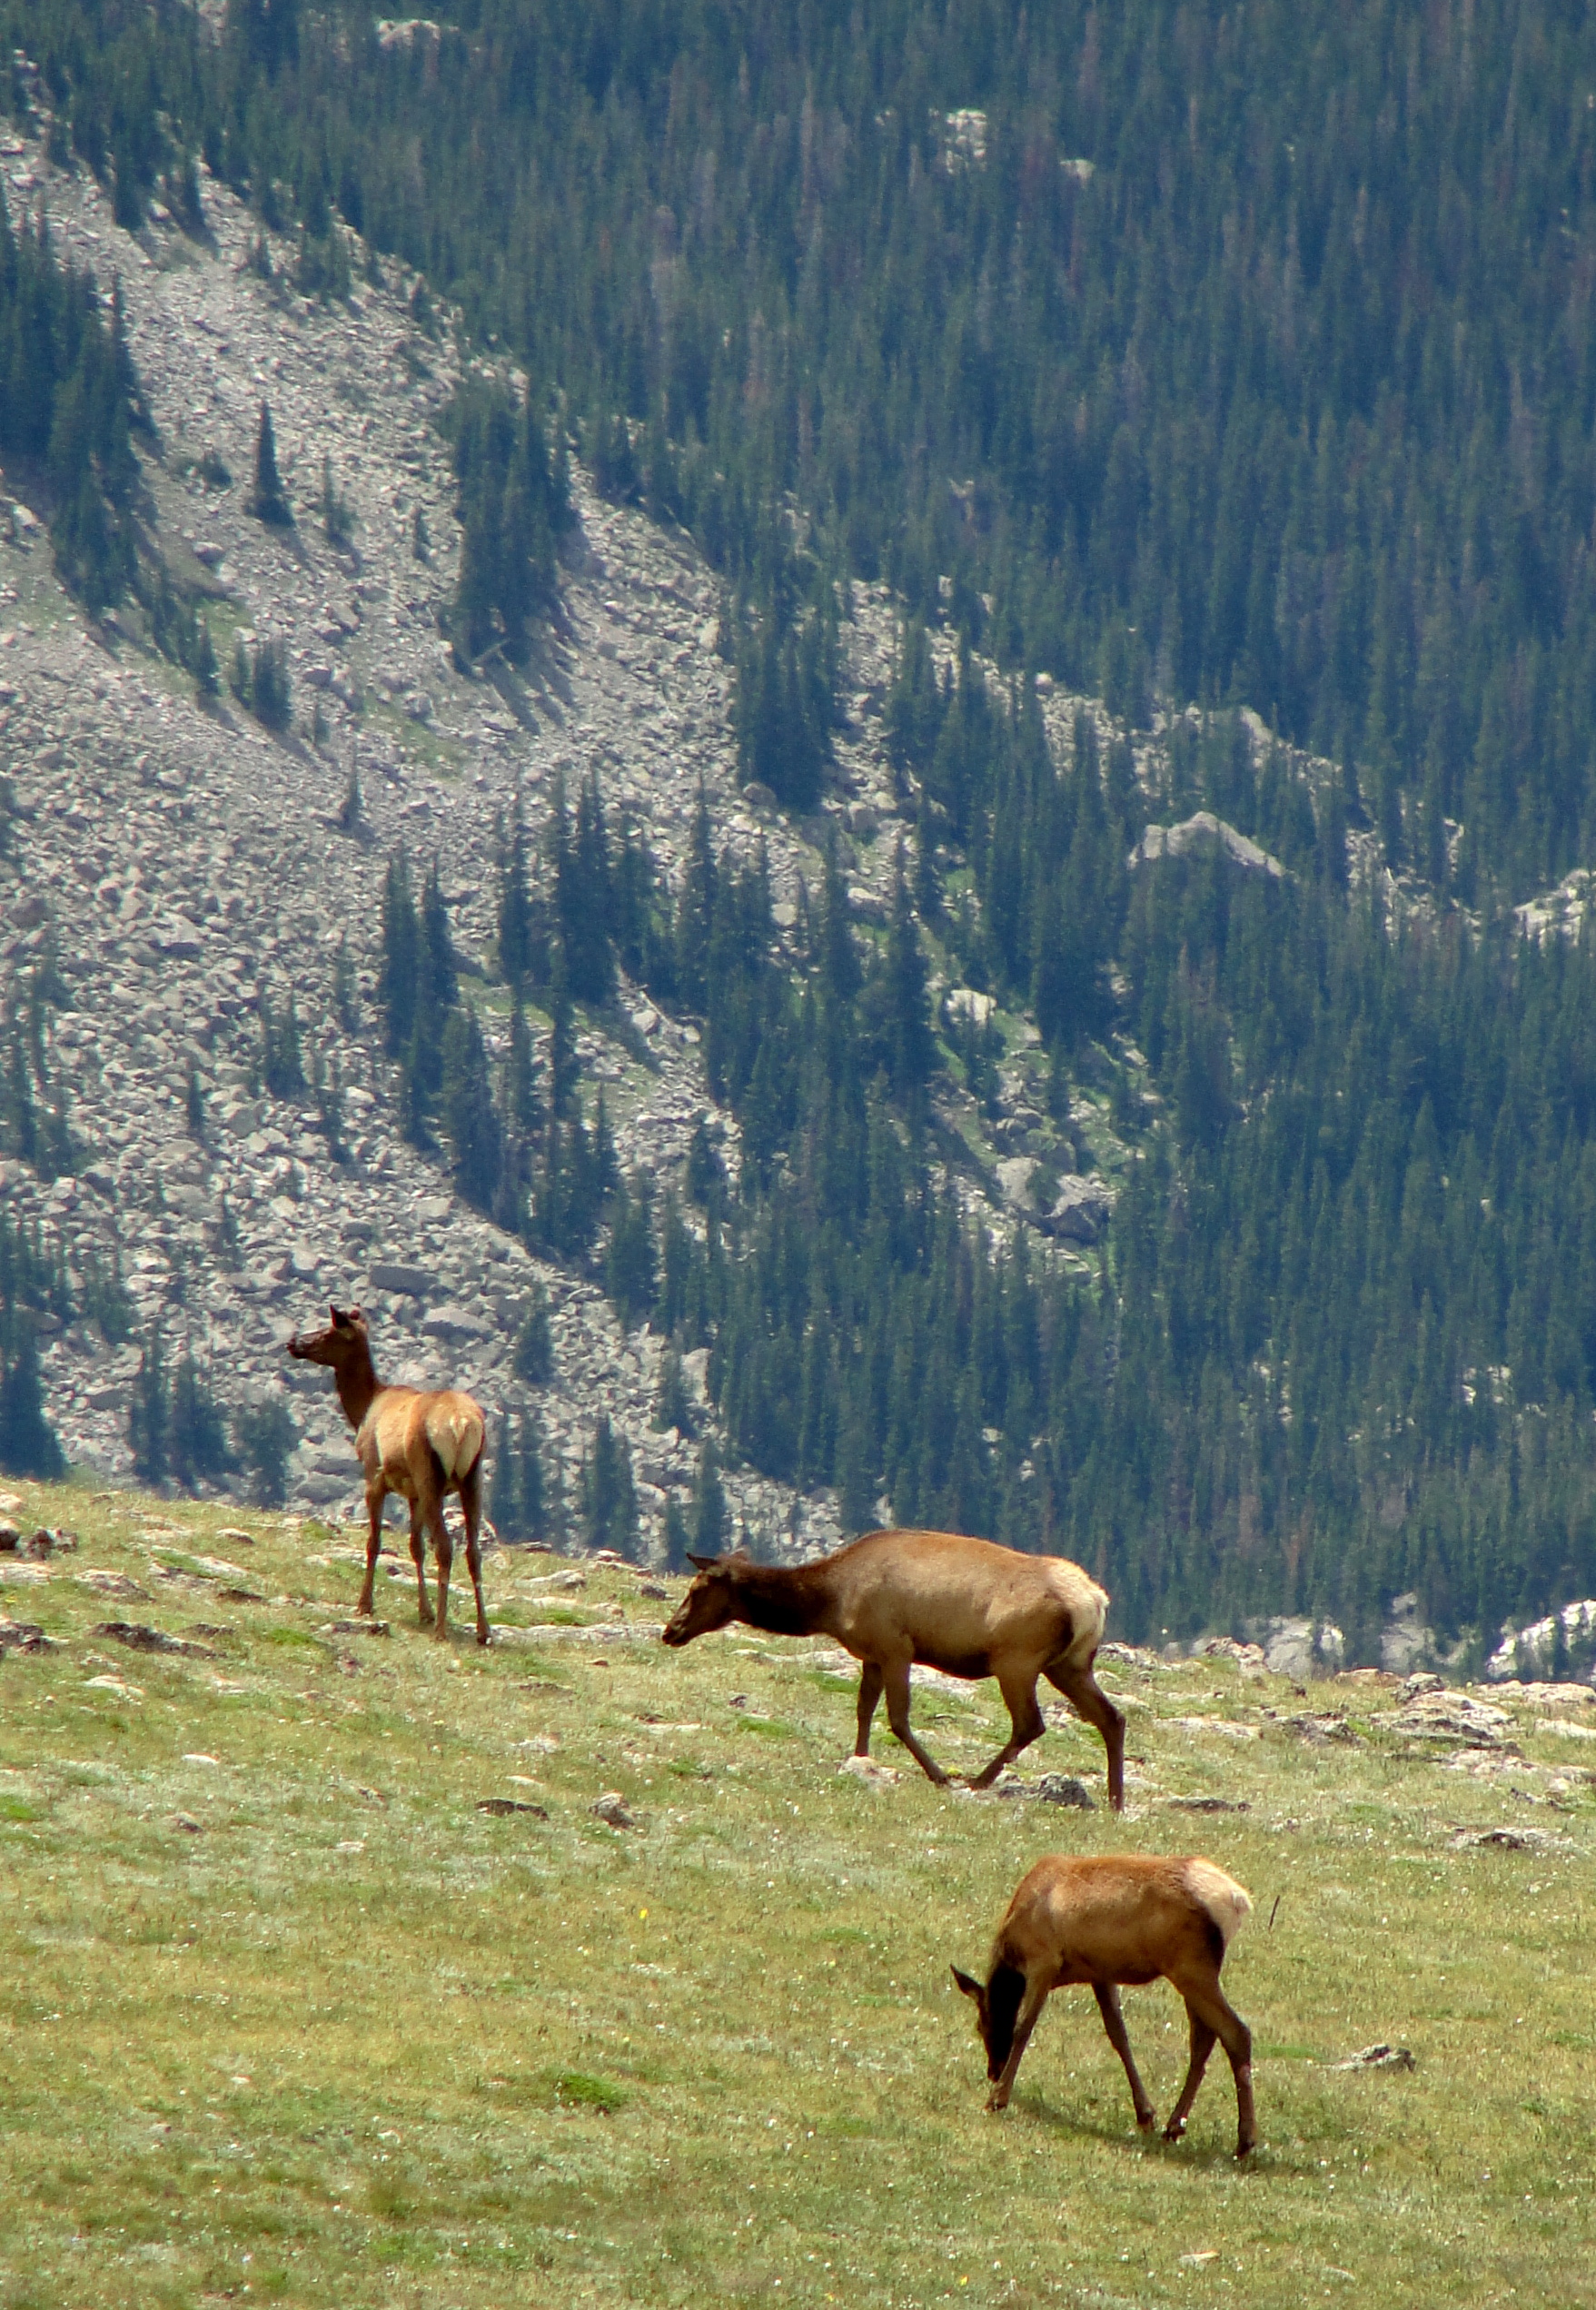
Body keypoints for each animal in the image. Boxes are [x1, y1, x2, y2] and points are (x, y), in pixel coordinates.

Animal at [285, 1303, 487, 1644]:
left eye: (328, 1331)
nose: (293, 1342)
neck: (363, 1409)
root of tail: (461, 1425)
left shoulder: (374, 1476)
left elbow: (374, 1542)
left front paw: (364, 1604)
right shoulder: (412, 1494)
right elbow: (415, 1547)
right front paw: (424, 1611)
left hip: (429, 1474)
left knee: (446, 1547)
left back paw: (442, 1629)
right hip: (472, 1478)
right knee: (473, 1551)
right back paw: (483, 1630)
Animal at [660, 1524, 1122, 1810]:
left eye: (697, 1589)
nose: (671, 1630)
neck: (830, 1602)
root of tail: (1094, 1602)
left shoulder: (896, 1647)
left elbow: (897, 1718)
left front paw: (939, 1775)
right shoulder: (871, 1653)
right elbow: (864, 1708)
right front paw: (860, 1759)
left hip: (1016, 1660)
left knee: (1030, 1724)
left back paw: (978, 1780)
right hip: (1071, 1664)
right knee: (1112, 1717)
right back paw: (1116, 1800)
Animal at [956, 1848, 1256, 2153]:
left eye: (979, 2026)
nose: (993, 2071)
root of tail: (1236, 1899)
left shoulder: (1043, 1962)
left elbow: (1023, 2028)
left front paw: (997, 2099)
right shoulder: (1100, 1974)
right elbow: (1118, 2035)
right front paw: (1145, 2114)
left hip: (1190, 1968)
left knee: (1236, 2032)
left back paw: (1245, 2140)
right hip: (1189, 1972)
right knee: (1204, 2037)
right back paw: (1174, 2126)